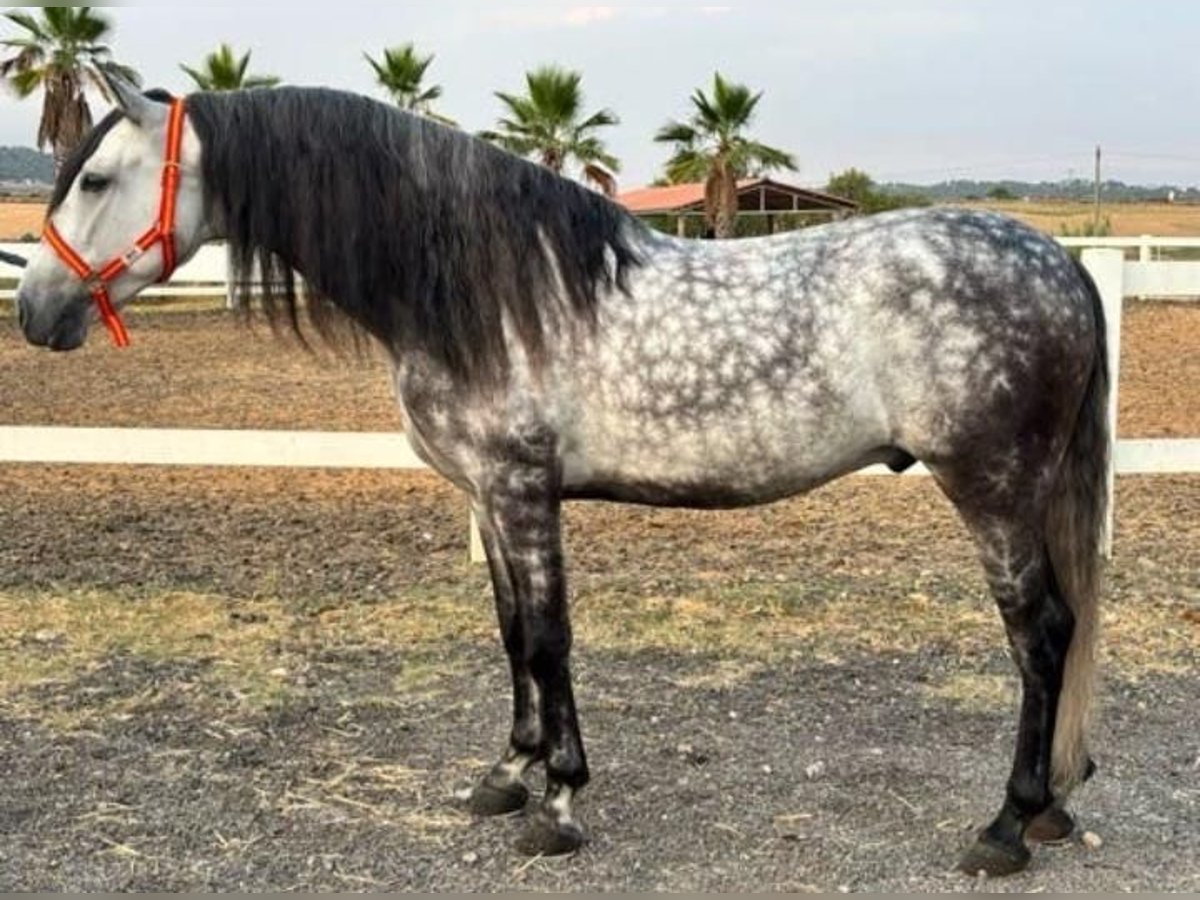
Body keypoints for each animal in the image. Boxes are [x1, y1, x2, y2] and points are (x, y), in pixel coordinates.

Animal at [13, 73, 1108, 878]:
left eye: (97, 178)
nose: (34, 309)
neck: (487, 289)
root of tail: (1060, 264)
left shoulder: (521, 491)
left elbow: (548, 639)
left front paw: (561, 802)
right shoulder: (492, 500)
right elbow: (511, 637)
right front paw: (508, 773)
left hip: (992, 486)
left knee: (1042, 633)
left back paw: (1007, 826)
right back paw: (1051, 807)